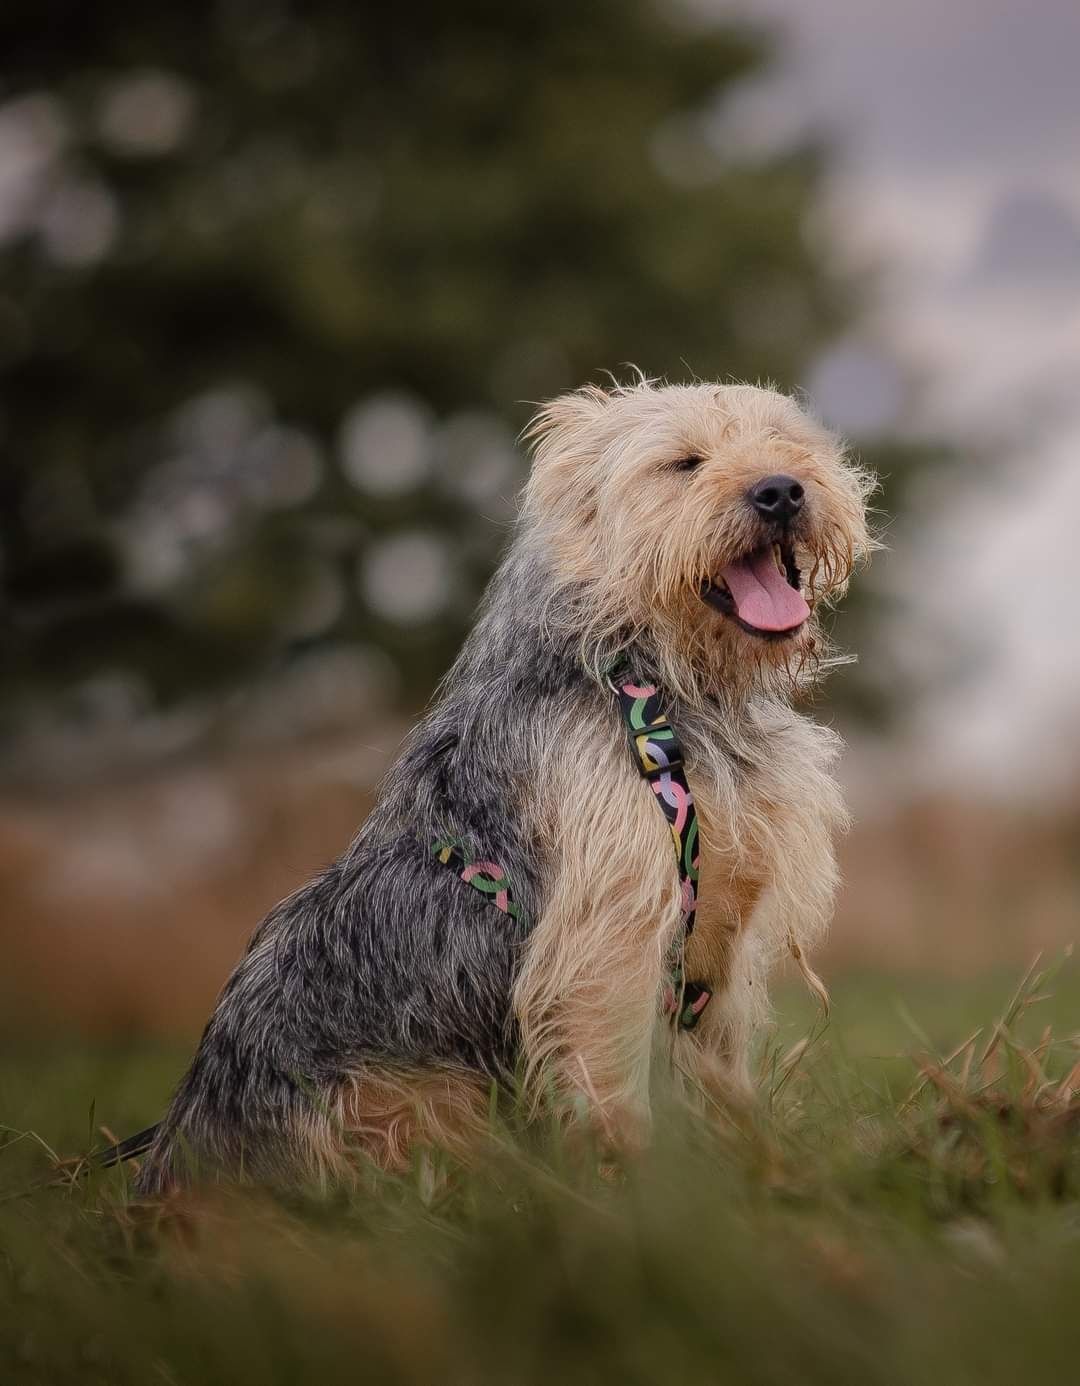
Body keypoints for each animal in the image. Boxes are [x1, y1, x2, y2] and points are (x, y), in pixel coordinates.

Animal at [137, 379, 876, 1191]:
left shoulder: (717, 949)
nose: (781, 490)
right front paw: (632, 1193)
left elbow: (719, 1082)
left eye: (787, 443)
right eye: (684, 463)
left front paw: (754, 1171)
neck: (658, 681)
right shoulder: (605, 942)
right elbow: (610, 1090)